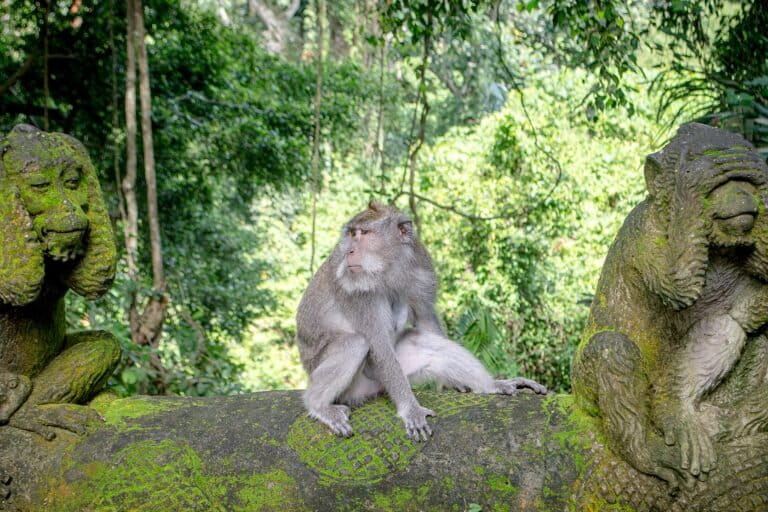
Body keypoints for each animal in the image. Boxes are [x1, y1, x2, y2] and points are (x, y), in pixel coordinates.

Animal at [296, 201, 547, 440]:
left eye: (363, 233)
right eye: (351, 234)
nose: (348, 250)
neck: (389, 267)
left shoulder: (420, 268)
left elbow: (425, 318)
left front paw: (456, 383)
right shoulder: (355, 292)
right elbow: (379, 344)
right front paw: (411, 409)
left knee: (425, 343)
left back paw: (492, 385)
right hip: (352, 387)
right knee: (355, 343)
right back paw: (318, 405)